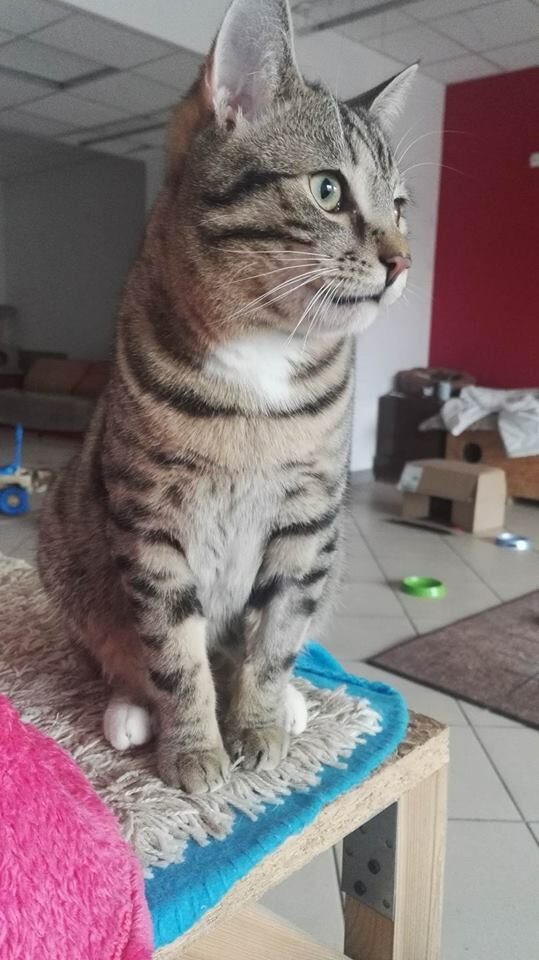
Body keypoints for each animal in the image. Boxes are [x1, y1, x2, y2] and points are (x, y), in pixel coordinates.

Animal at [38, 0, 415, 794]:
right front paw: (195, 750)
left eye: (400, 207)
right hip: (70, 542)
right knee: (121, 649)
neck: (261, 353)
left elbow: (274, 637)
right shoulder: (150, 520)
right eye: (328, 190)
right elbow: (174, 652)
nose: (402, 261)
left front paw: (260, 726)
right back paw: (131, 708)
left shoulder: (308, 518)